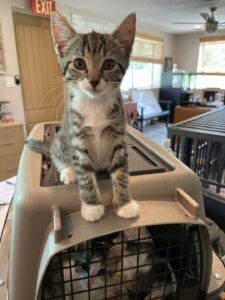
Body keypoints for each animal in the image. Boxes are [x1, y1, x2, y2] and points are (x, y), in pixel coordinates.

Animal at [26, 11, 139, 221]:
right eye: (79, 63)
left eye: (109, 64)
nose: (94, 81)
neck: (94, 103)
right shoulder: (77, 139)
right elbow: (85, 173)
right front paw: (92, 206)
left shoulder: (118, 136)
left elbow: (121, 171)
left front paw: (124, 203)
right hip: (62, 138)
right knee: (56, 153)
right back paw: (68, 171)